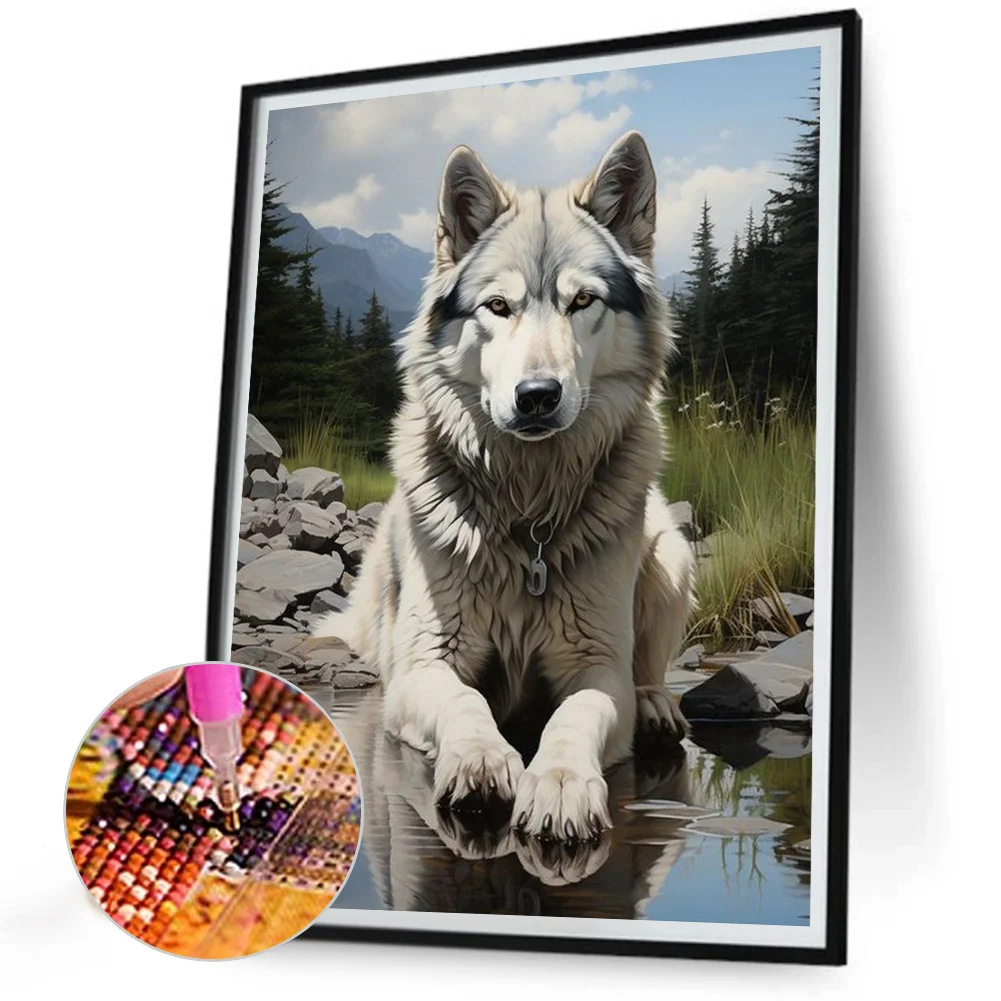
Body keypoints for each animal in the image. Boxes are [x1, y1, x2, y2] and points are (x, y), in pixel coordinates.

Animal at [315, 130, 695, 843]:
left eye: (582, 302)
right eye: (498, 306)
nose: (537, 396)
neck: (527, 514)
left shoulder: (595, 666)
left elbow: (576, 716)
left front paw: (562, 783)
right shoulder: (425, 666)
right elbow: (465, 700)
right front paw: (482, 759)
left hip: (669, 550)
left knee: (650, 666)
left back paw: (657, 706)